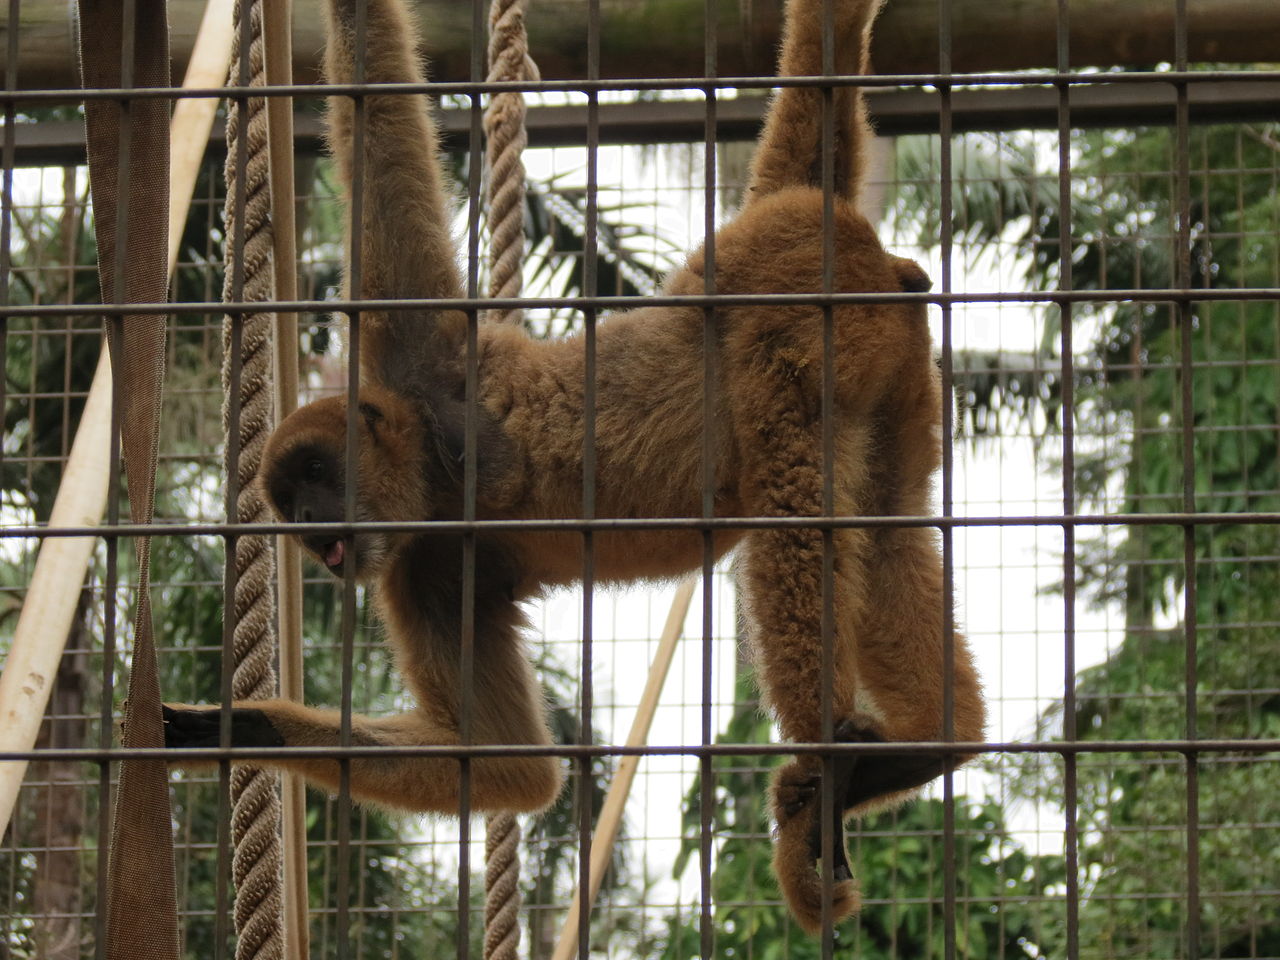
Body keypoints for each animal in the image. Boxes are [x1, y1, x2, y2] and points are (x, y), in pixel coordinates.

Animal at [165, 0, 983, 942]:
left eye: (315, 480)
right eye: (288, 504)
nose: (305, 529)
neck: (439, 488)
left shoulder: (430, 370)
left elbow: (380, 125)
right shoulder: (427, 568)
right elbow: (511, 768)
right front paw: (243, 727)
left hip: (780, 295)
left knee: (794, 500)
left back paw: (837, 768)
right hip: (888, 370)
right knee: (886, 523)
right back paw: (932, 746)